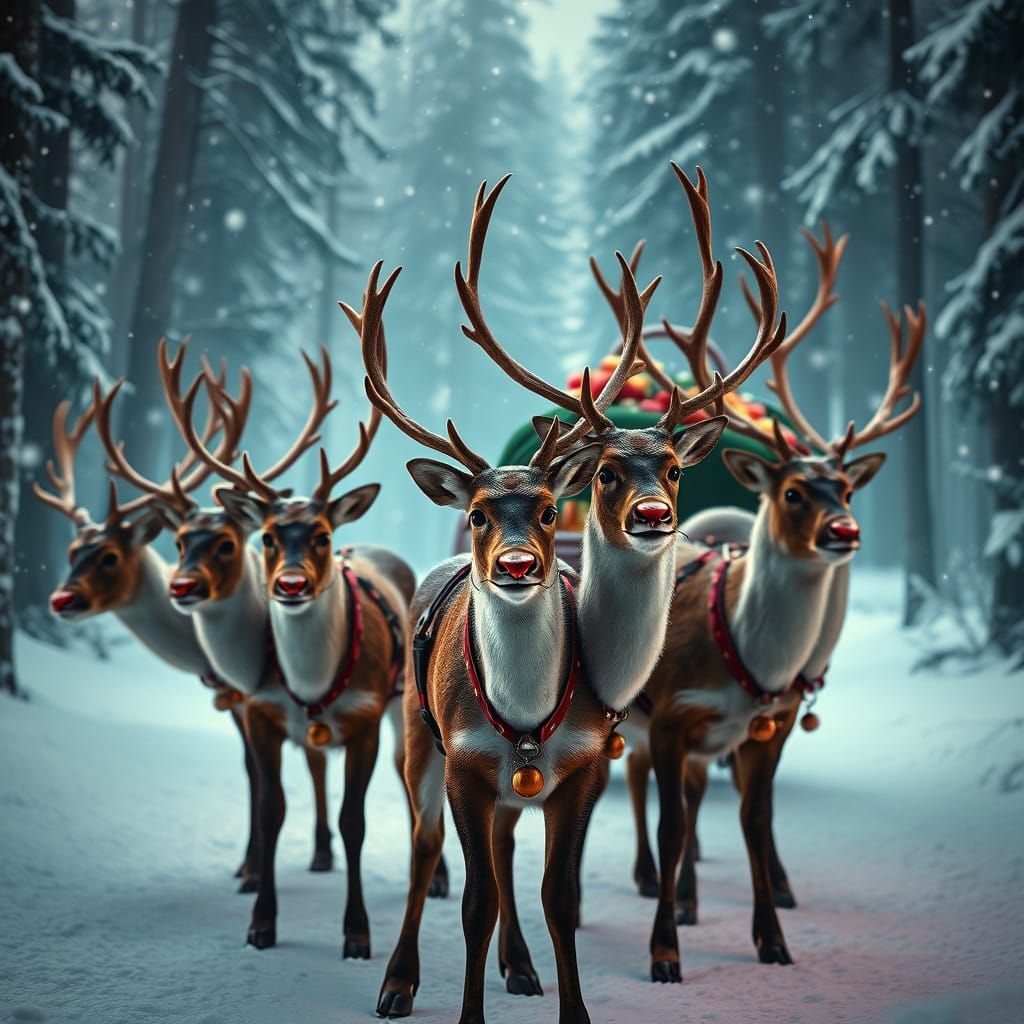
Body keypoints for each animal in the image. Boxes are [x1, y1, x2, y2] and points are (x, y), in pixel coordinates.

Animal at [91, 341, 342, 887]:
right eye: (180, 542)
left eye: (227, 543)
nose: (180, 587)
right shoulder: (249, 706)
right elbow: (257, 777)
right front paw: (249, 869)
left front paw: (254, 872)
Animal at [169, 334, 422, 959]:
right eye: (265, 537)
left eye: (322, 535)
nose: (289, 585)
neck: (313, 679)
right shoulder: (263, 712)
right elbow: (270, 808)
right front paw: (261, 923)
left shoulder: (362, 716)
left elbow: (357, 821)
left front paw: (357, 933)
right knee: (314, 763)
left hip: (402, 703)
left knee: (409, 776)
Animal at [367, 168, 783, 1024]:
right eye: (479, 513)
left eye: (675, 470)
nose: (520, 564)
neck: (527, 714)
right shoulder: (464, 762)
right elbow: (473, 902)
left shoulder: (584, 763)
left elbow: (557, 895)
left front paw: (572, 1005)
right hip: (419, 736)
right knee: (428, 851)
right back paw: (397, 981)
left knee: (503, 851)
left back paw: (521, 968)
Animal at [623, 223, 926, 982]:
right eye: (792, 492)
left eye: (844, 489)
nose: (846, 533)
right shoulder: (669, 717)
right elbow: (673, 824)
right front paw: (664, 951)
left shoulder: (772, 724)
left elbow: (755, 826)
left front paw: (774, 938)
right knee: (645, 790)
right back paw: (651, 882)